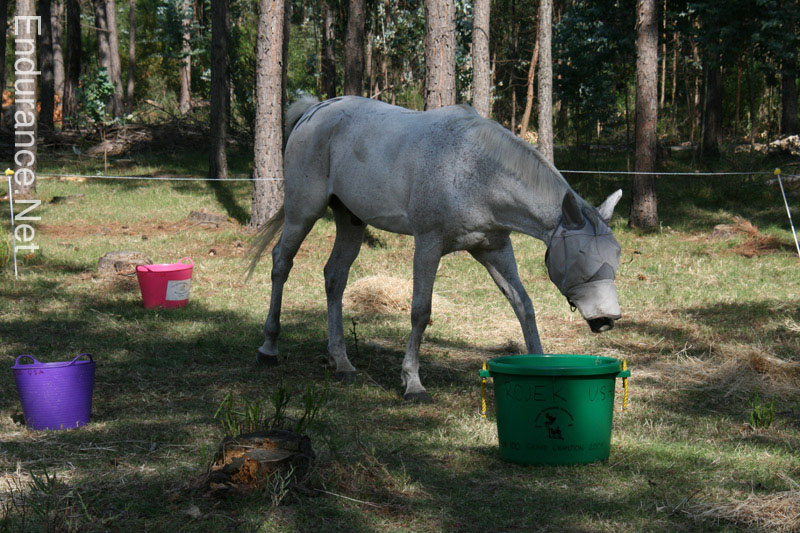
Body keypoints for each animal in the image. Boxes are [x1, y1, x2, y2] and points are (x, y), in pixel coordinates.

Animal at [247, 96, 620, 404]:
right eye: (581, 257)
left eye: (615, 255)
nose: (608, 319)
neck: (478, 171)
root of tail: (315, 109)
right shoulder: (428, 244)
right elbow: (420, 312)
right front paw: (413, 383)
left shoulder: (495, 250)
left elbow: (523, 305)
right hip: (303, 212)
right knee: (281, 263)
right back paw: (268, 347)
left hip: (350, 221)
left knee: (334, 277)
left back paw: (342, 362)